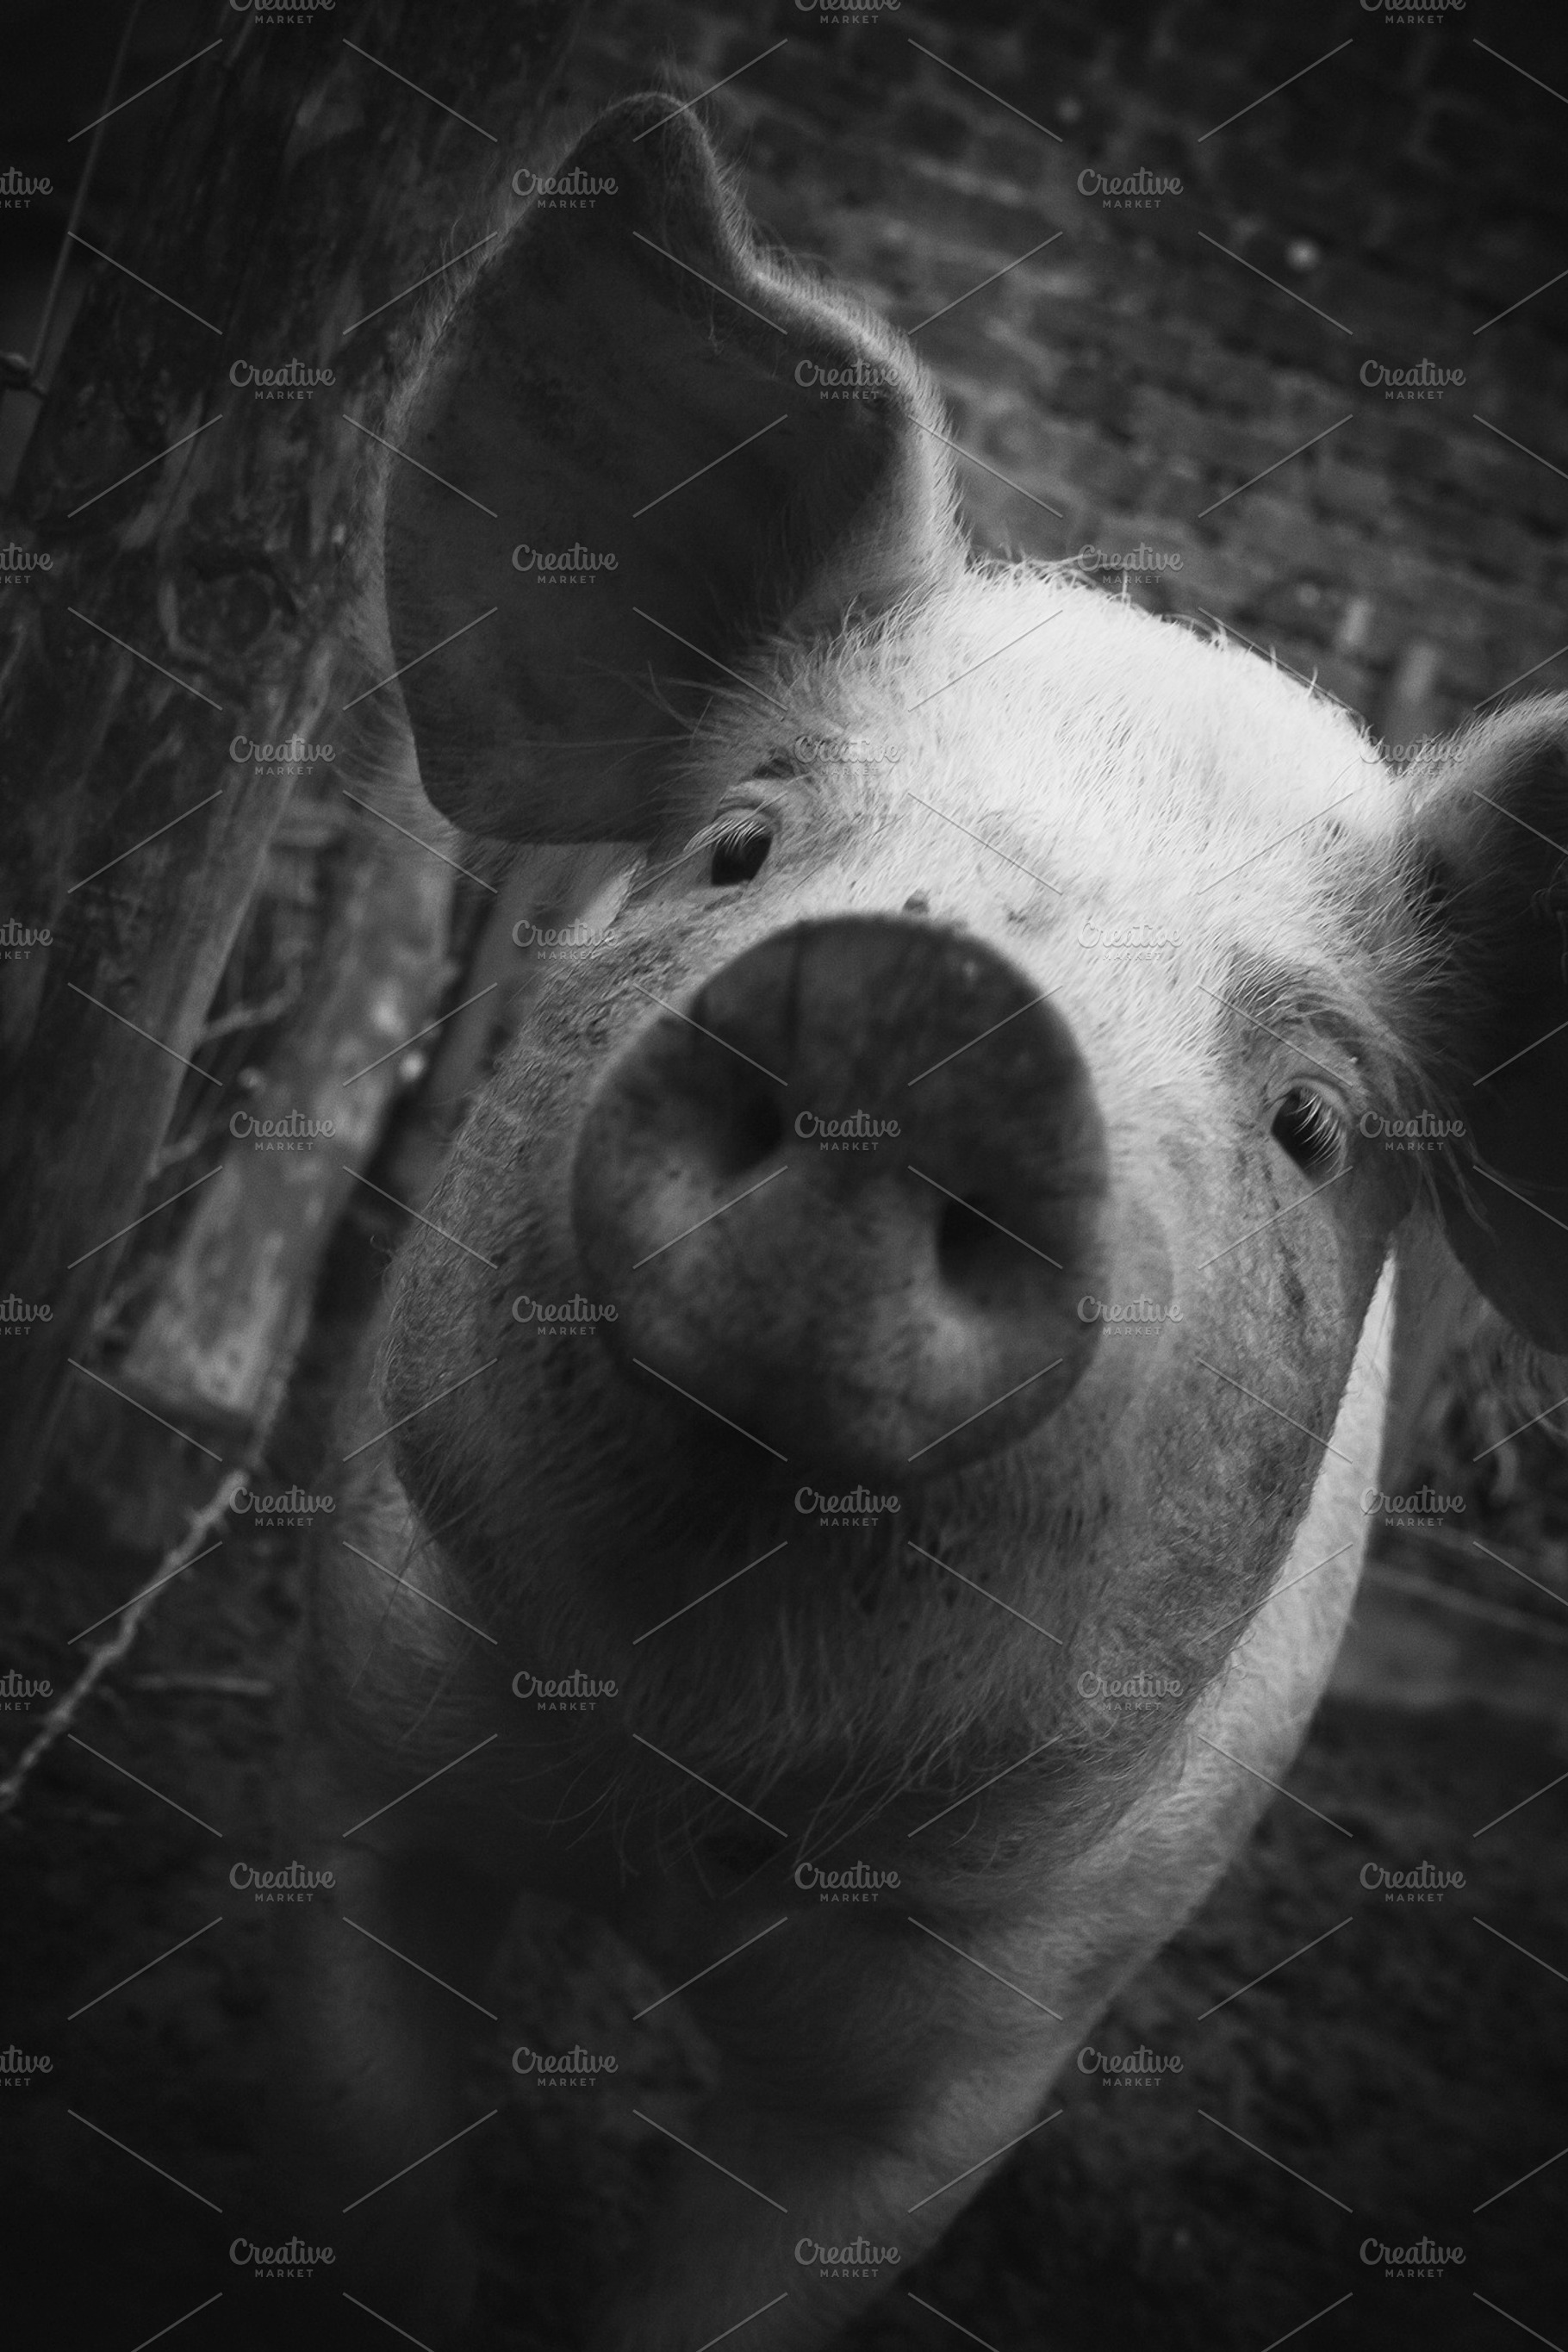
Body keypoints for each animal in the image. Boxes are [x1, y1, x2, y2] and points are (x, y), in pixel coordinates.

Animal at [270, 93, 1568, 2351]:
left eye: (1314, 1122)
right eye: (740, 844)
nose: (926, 999)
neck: (684, 1798)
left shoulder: (979, 2059)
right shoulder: (373, 1735)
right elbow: (378, 2159)